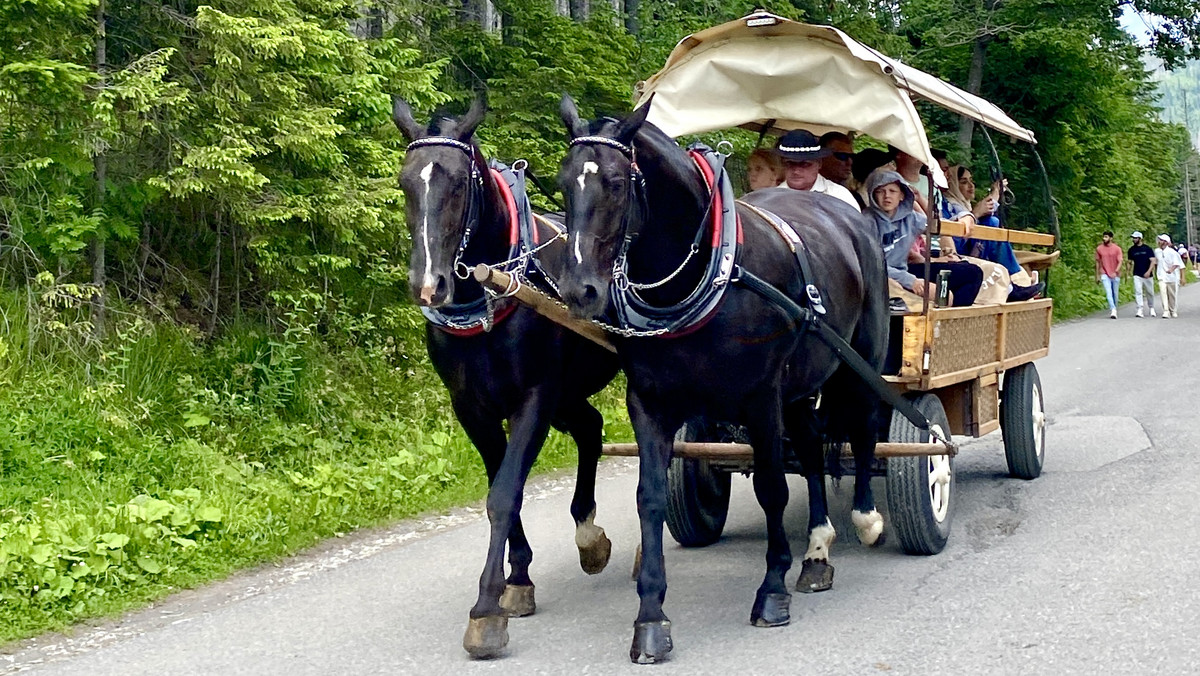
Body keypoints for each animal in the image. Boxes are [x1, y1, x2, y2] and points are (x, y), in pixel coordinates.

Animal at [393, 96, 624, 662]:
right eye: (406, 182)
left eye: (458, 183)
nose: (429, 284)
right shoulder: (471, 408)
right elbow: (500, 486)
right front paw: (517, 580)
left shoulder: (534, 398)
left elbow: (504, 494)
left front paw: (485, 611)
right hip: (568, 395)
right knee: (590, 428)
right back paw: (588, 535)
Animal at [554, 97, 892, 662]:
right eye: (563, 183)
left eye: (618, 183)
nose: (580, 291)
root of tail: (854, 219)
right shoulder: (650, 401)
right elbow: (650, 497)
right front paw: (651, 618)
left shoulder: (760, 398)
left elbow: (773, 489)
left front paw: (772, 591)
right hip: (800, 386)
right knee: (812, 447)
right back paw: (817, 551)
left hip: (860, 359)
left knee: (865, 428)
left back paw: (866, 519)